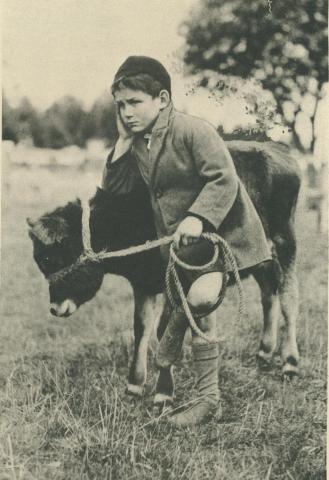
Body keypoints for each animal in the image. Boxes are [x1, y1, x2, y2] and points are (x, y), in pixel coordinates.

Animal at [28, 140, 300, 404]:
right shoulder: (143, 283)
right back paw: (264, 352)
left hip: (284, 240)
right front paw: (135, 384)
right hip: (262, 258)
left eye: (50, 257)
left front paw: (163, 391)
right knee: (269, 293)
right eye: (39, 261)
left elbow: (163, 330)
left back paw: (290, 362)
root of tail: (277, 148)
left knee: (288, 299)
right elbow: (141, 328)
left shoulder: (174, 280)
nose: (55, 308)